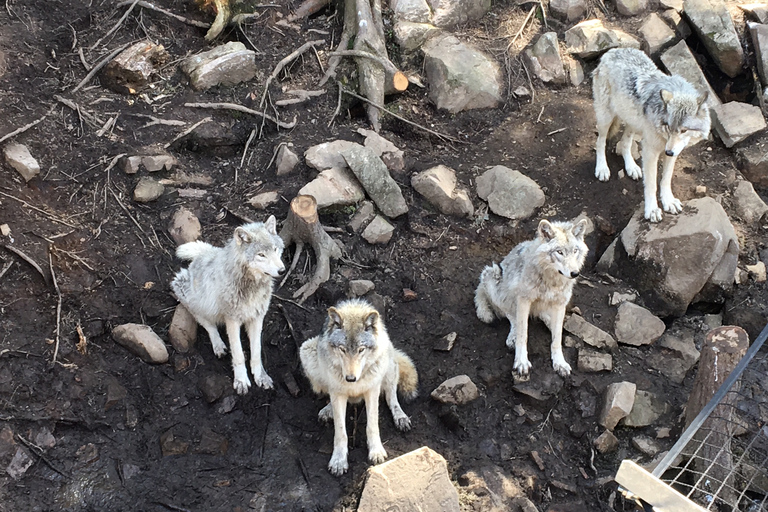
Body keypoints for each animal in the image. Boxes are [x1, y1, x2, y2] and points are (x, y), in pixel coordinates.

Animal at [171, 216, 284, 396]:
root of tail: (204, 254)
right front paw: (241, 381)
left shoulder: (257, 318)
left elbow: (256, 352)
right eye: (261, 255)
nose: (282, 270)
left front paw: (261, 377)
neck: (251, 287)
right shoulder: (232, 320)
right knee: (207, 324)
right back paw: (218, 345)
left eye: (275, 249)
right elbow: (238, 354)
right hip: (190, 296)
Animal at [302, 298, 420, 478]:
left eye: (361, 350)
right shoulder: (338, 392)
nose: (350, 378)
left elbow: (372, 425)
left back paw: (400, 417)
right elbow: (340, 432)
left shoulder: (372, 390)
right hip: (307, 351)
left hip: (389, 363)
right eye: (342, 349)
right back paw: (328, 410)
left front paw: (376, 451)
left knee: (391, 396)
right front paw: (338, 461)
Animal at [474, 218, 588, 378]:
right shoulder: (524, 300)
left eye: (575, 251)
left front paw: (559, 363)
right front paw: (521, 362)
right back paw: (513, 336)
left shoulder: (560, 303)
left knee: (545, 317)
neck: (551, 281)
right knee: (510, 316)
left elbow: (556, 339)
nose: (575, 273)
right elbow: (523, 334)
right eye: (559, 252)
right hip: (492, 276)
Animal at [592, 47, 712, 222]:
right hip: (605, 118)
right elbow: (651, 183)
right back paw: (602, 168)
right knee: (600, 142)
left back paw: (631, 167)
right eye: (668, 126)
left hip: (633, 122)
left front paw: (668, 201)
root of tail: (611, 51)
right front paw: (652, 210)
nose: (668, 152)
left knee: (625, 143)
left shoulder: (673, 152)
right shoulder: (650, 151)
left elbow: (666, 179)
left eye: (683, 130)